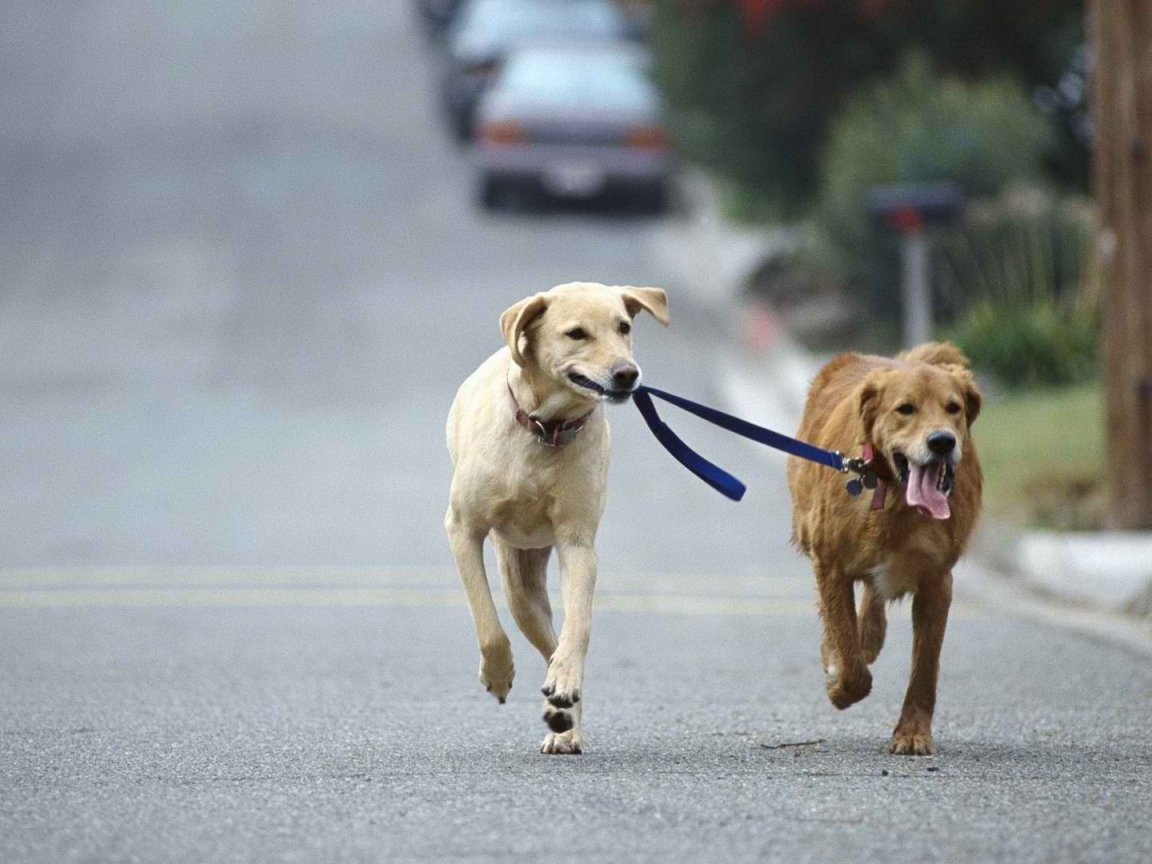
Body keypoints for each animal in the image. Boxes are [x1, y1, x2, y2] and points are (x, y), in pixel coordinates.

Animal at [444, 281, 672, 755]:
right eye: (576, 333)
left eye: (623, 327)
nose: (627, 373)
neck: (544, 429)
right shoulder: (462, 529)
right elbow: (487, 623)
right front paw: (498, 675)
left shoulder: (577, 543)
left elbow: (578, 626)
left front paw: (564, 685)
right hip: (519, 585)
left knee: (557, 643)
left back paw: (564, 716)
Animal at [792, 340, 981, 755]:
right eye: (905, 408)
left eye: (953, 407)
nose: (942, 441)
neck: (895, 497)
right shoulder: (829, 563)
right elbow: (847, 652)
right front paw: (840, 684)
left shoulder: (937, 580)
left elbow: (925, 668)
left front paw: (912, 731)